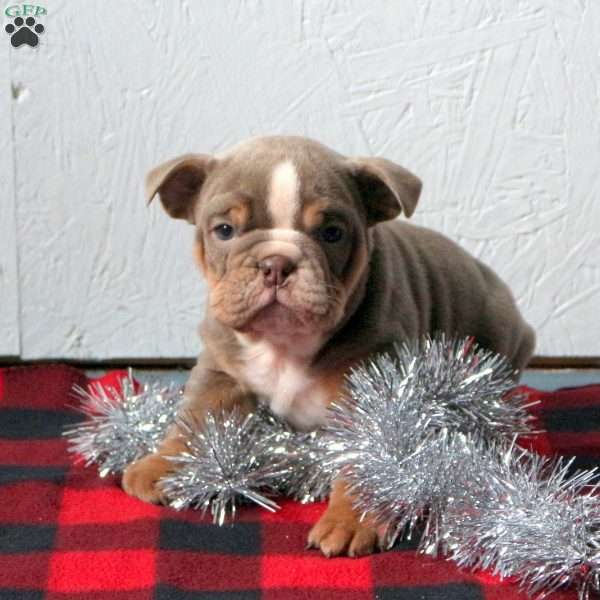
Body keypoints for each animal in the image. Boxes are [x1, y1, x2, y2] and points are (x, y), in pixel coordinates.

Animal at [122, 135, 536, 556]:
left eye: (332, 233)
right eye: (224, 230)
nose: (276, 262)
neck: (282, 344)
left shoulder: (372, 391)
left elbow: (367, 463)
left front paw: (352, 520)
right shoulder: (221, 367)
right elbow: (196, 414)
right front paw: (162, 463)